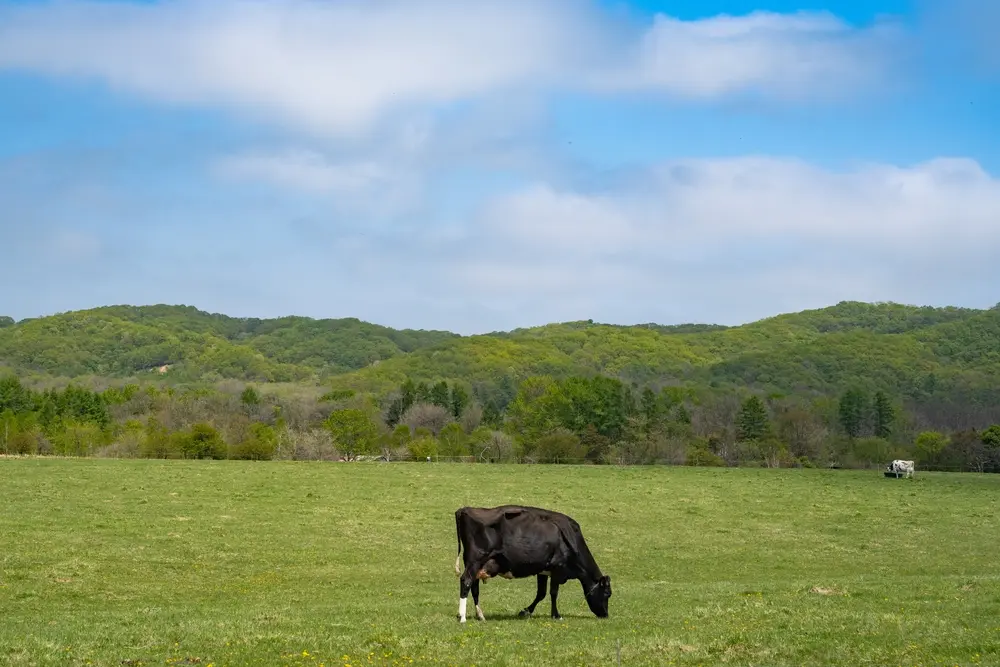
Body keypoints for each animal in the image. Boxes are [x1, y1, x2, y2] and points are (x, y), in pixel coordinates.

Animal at [454, 508, 608, 624]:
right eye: (607, 593)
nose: (605, 615)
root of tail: (465, 509)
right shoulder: (557, 568)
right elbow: (553, 593)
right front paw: (556, 615)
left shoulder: (543, 570)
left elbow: (541, 593)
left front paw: (526, 611)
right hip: (476, 560)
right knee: (466, 581)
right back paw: (462, 617)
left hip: (475, 564)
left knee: (474, 587)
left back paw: (480, 615)